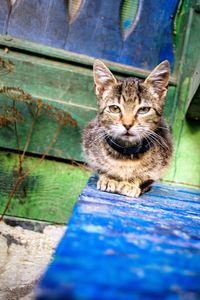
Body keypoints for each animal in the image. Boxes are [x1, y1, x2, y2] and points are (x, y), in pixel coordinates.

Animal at [82, 59, 173, 198]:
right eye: (114, 108)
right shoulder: (91, 151)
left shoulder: (160, 165)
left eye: (144, 109)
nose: (127, 124)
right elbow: (102, 168)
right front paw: (109, 178)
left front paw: (130, 183)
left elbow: (144, 176)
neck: (125, 155)